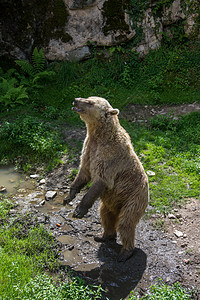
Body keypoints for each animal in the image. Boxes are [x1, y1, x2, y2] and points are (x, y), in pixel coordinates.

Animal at [63, 96, 148, 262]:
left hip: (133, 198)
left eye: (90, 102)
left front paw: (79, 210)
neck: (98, 134)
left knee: (126, 223)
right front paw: (69, 196)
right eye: (87, 97)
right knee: (106, 215)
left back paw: (125, 253)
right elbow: (83, 172)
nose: (76, 100)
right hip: (112, 201)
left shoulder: (109, 157)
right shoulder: (89, 148)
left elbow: (100, 180)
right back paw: (103, 236)